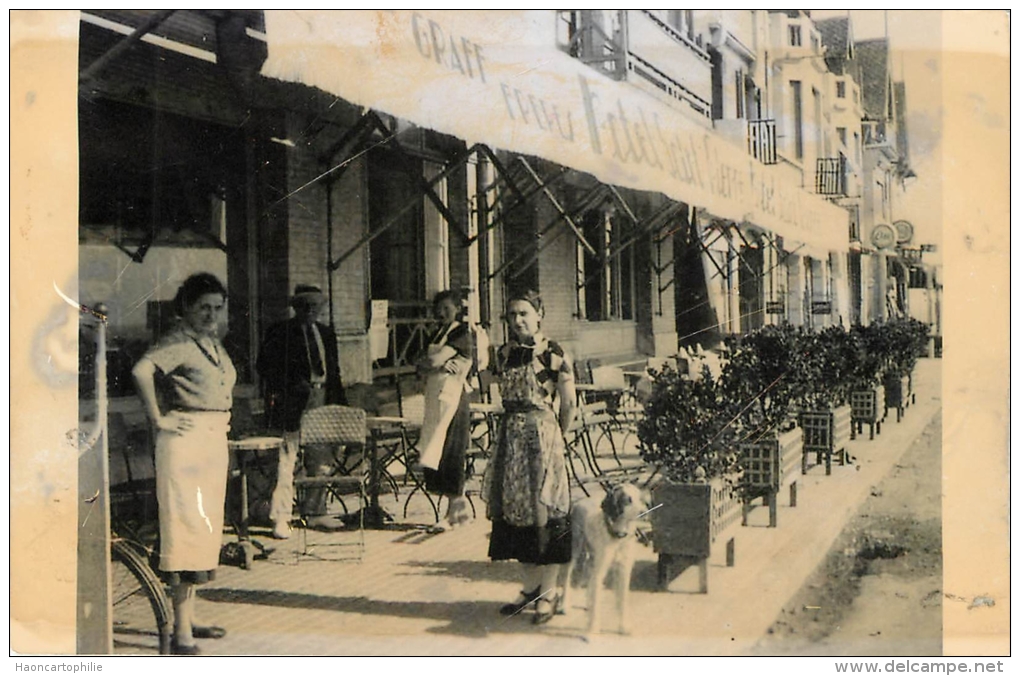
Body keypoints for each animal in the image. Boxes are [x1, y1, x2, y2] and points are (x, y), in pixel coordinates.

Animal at [563, 483, 648, 636]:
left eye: (639, 498)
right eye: (628, 500)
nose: (644, 512)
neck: (617, 537)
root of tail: (580, 502)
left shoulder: (623, 570)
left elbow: (622, 600)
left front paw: (623, 626)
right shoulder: (600, 570)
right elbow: (597, 601)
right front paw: (593, 629)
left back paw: (587, 602)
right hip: (576, 550)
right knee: (567, 576)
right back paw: (564, 605)